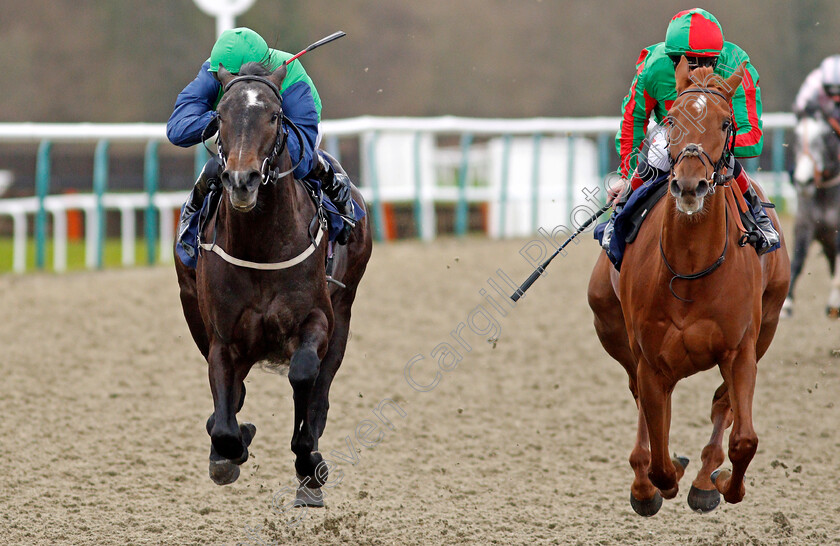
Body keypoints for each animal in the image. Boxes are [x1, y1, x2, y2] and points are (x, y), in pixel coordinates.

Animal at [174, 60, 370, 506]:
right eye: (219, 116)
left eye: (275, 116)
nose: (241, 180)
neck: (261, 246)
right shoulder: (223, 338)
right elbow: (226, 422)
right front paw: (228, 450)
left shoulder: (317, 319)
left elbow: (303, 376)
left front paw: (307, 462)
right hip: (192, 309)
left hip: (345, 313)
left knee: (319, 389)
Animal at [588, 58, 792, 516]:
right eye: (671, 120)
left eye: (725, 122)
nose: (688, 184)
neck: (691, 267)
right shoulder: (650, 360)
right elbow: (661, 460)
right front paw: (655, 484)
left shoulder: (741, 350)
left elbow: (744, 438)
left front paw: (720, 484)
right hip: (609, 325)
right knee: (642, 408)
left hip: (769, 326)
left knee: (722, 405)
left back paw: (704, 477)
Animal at [780, 116, 840, 316]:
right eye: (796, 138)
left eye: (825, 137)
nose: (803, 181)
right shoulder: (804, 224)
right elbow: (797, 260)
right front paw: (787, 303)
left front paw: (834, 303)